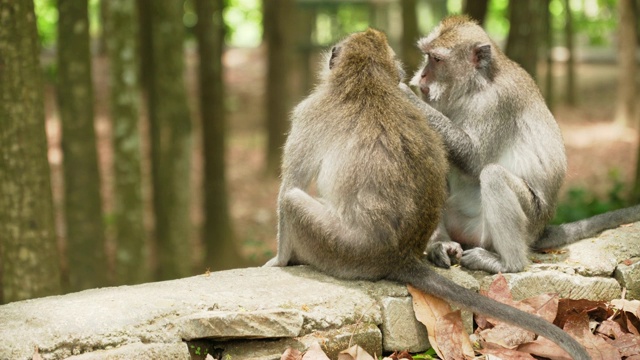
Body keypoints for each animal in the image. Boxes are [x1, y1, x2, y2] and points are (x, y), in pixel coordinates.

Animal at [264, 29, 592, 360]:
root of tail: (398, 257)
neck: (366, 78)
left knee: (292, 201)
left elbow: (288, 187)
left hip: (339, 249)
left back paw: (505, 263)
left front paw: (278, 261)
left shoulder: (307, 112)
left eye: (435, 60)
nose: (420, 76)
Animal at [404, 13, 640, 272]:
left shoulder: (497, 102)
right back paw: (443, 244)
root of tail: (540, 230)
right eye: (427, 56)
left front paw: (405, 95)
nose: (422, 75)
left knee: (494, 176)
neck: (473, 87)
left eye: (436, 59)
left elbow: (475, 160)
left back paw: (508, 263)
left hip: (521, 221)